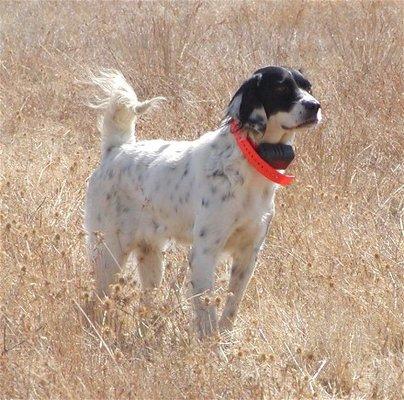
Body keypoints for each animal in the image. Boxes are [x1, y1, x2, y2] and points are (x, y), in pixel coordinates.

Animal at [85, 67, 322, 336]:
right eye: (281, 87)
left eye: (308, 87)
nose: (315, 106)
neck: (249, 160)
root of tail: (116, 150)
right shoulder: (204, 253)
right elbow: (207, 313)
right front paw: (211, 344)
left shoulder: (249, 252)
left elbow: (231, 307)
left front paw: (225, 341)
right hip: (109, 251)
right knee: (95, 298)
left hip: (151, 256)